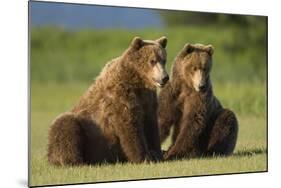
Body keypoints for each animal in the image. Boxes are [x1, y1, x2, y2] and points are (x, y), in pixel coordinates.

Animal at [47, 36, 168, 165]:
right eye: (152, 61)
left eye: (164, 60)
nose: (164, 77)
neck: (138, 82)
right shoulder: (120, 96)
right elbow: (129, 126)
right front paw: (143, 157)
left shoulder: (147, 100)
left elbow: (151, 125)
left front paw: (157, 153)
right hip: (85, 131)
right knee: (64, 125)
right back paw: (74, 160)